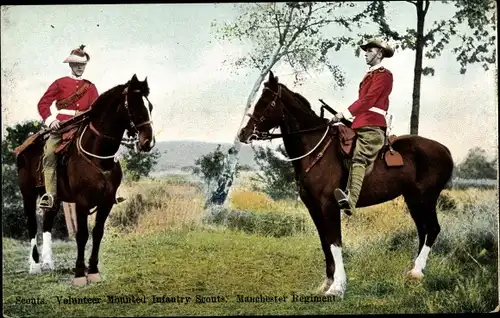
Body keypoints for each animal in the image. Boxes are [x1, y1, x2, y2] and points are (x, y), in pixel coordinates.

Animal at [16, 74, 155, 286]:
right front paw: (80, 274)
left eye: (150, 106)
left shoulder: (106, 202)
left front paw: (94, 271)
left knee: (47, 222)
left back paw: (48, 263)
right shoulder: (82, 202)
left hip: (54, 197)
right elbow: (82, 234)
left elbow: (97, 233)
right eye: (135, 105)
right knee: (32, 223)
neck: (99, 154)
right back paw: (35, 266)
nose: (148, 142)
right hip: (28, 194)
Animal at [238, 72, 454, 298]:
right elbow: (324, 242)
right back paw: (415, 271)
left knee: (432, 228)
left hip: (426, 198)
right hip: (413, 200)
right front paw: (327, 282)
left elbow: (335, 242)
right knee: (423, 230)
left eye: (267, 102)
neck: (316, 150)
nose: (244, 134)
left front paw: (337, 286)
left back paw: (418, 271)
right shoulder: (313, 207)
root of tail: (445, 150)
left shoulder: (329, 205)